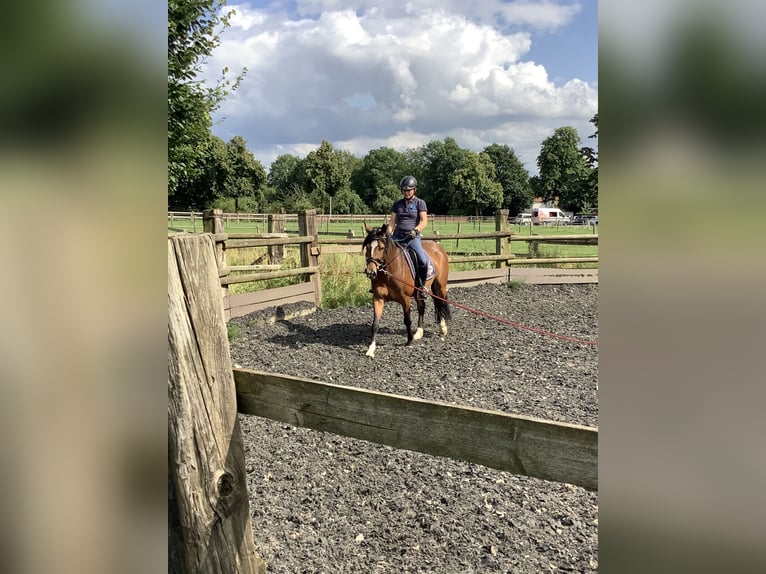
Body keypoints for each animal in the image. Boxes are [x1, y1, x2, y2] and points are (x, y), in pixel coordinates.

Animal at [364, 223, 452, 358]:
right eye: (368, 247)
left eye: (382, 247)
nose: (371, 272)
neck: (389, 272)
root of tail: (438, 247)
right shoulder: (378, 298)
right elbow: (375, 324)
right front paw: (371, 349)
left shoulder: (405, 299)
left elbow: (407, 320)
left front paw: (409, 340)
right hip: (418, 292)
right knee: (422, 307)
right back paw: (419, 332)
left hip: (440, 286)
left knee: (440, 303)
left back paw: (443, 328)